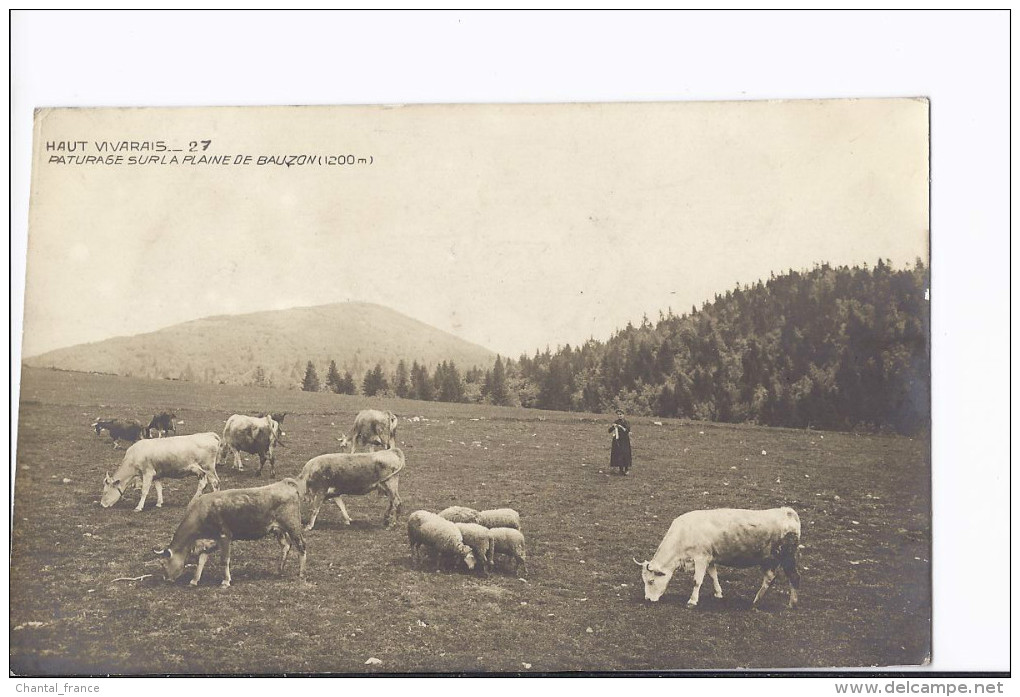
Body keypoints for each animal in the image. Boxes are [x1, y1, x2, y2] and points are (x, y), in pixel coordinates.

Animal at [150, 477, 301, 587]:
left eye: (163, 563)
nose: (165, 579)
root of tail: (285, 483)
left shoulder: (225, 536)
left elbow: (224, 560)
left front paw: (226, 581)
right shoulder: (210, 541)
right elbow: (201, 560)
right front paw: (194, 580)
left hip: (292, 526)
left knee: (300, 546)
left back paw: (300, 573)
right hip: (278, 530)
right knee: (286, 546)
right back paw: (279, 570)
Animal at [632, 506, 799, 612]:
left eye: (651, 581)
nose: (647, 599)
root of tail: (787, 511)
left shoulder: (701, 557)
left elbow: (697, 580)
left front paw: (692, 601)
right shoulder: (710, 558)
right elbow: (713, 575)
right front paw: (718, 593)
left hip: (784, 557)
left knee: (790, 577)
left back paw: (783, 603)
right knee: (775, 578)